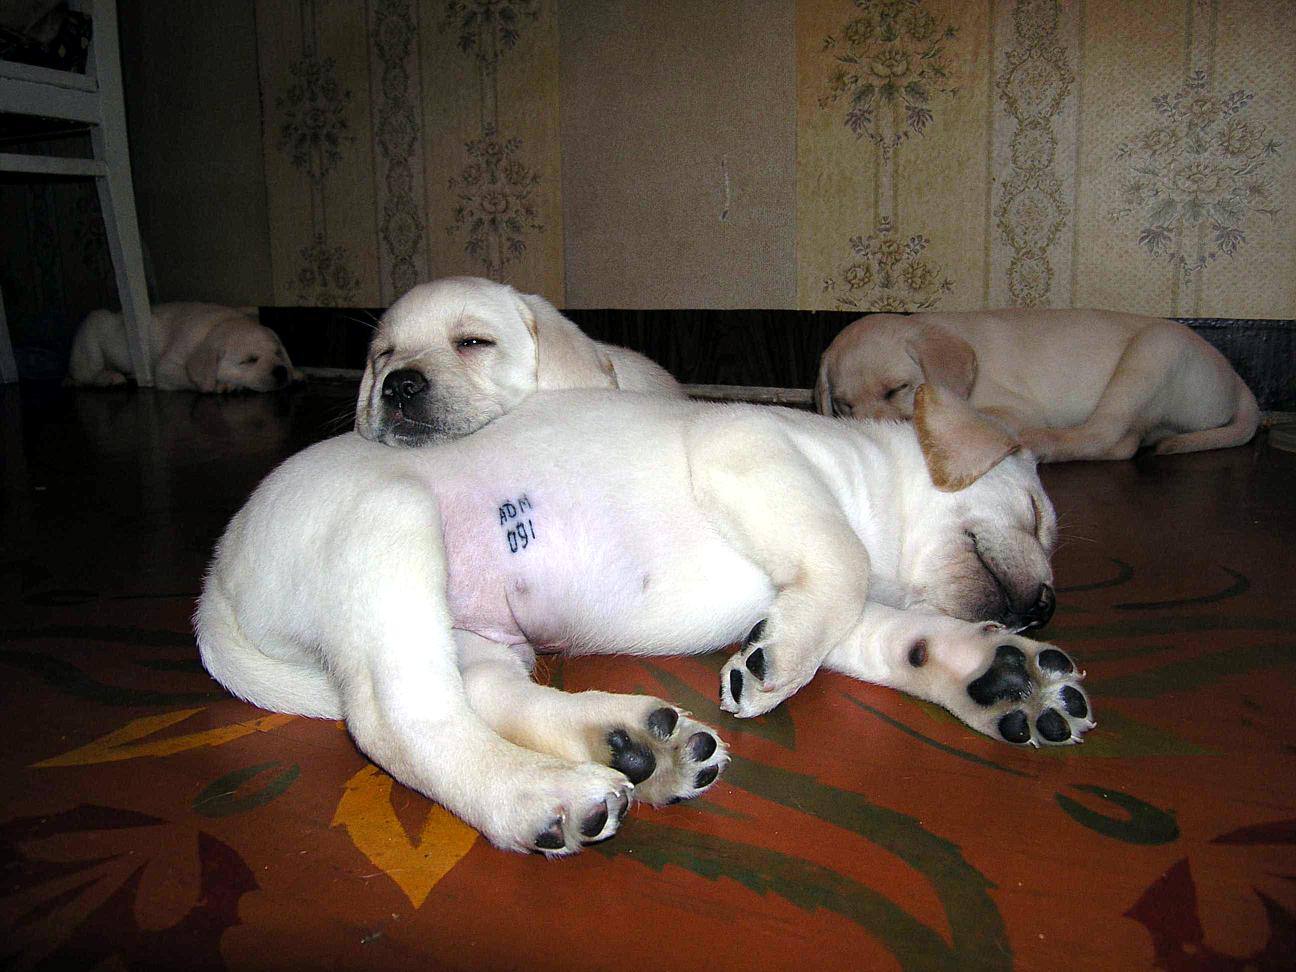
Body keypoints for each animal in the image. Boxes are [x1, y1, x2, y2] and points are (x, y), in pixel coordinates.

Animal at [68, 302, 300, 393]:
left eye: (278, 353)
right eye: (249, 360)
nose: (281, 371)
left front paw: (296, 372)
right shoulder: (166, 368)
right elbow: (187, 377)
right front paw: (223, 384)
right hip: (92, 334)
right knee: (88, 375)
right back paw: (110, 377)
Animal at [197, 384, 1092, 855]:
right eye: (1039, 513)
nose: (1046, 604)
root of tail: (217, 580)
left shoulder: (834, 591)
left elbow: (877, 631)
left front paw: (996, 676)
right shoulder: (754, 452)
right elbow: (837, 566)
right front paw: (777, 665)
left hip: (477, 636)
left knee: (488, 698)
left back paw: (631, 747)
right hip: (390, 524)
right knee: (399, 722)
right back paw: (535, 796)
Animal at [815, 308, 1260, 462]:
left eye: (897, 389)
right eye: (843, 406)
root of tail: (1237, 382)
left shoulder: (1017, 408)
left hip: (1153, 351)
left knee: (1106, 438)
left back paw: (1040, 444)